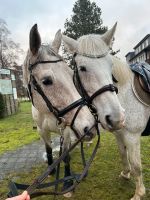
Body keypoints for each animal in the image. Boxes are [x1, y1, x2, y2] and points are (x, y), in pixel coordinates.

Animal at [61, 22, 149, 199]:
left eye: (111, 67)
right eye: (82, 68)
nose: (116, 118)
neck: (125, 94)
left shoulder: (132, 136)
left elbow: (136, 165)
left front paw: (138, 193)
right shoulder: (119, 133)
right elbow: (123, 154)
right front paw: (125, 174)